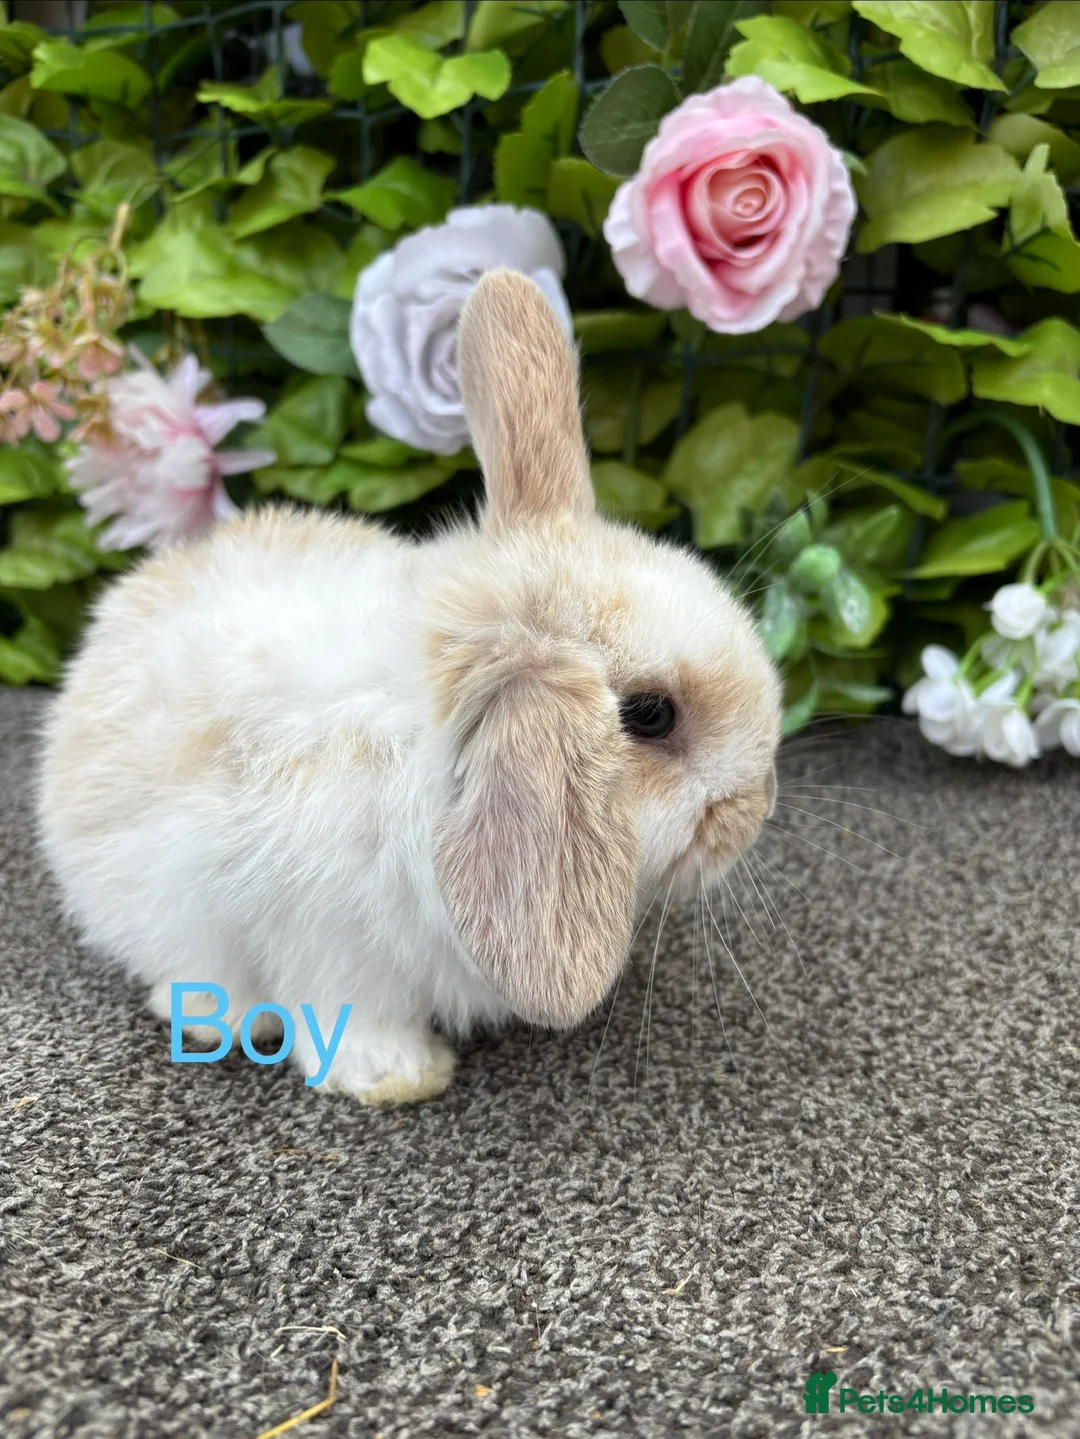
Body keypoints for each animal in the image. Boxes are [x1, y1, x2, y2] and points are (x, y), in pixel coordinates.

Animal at [37, 268, 782, 1106]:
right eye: (651, 715)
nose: (756, 808)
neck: (434, 719)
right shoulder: (333, 939)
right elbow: (350, 1015)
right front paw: (401, 1076)